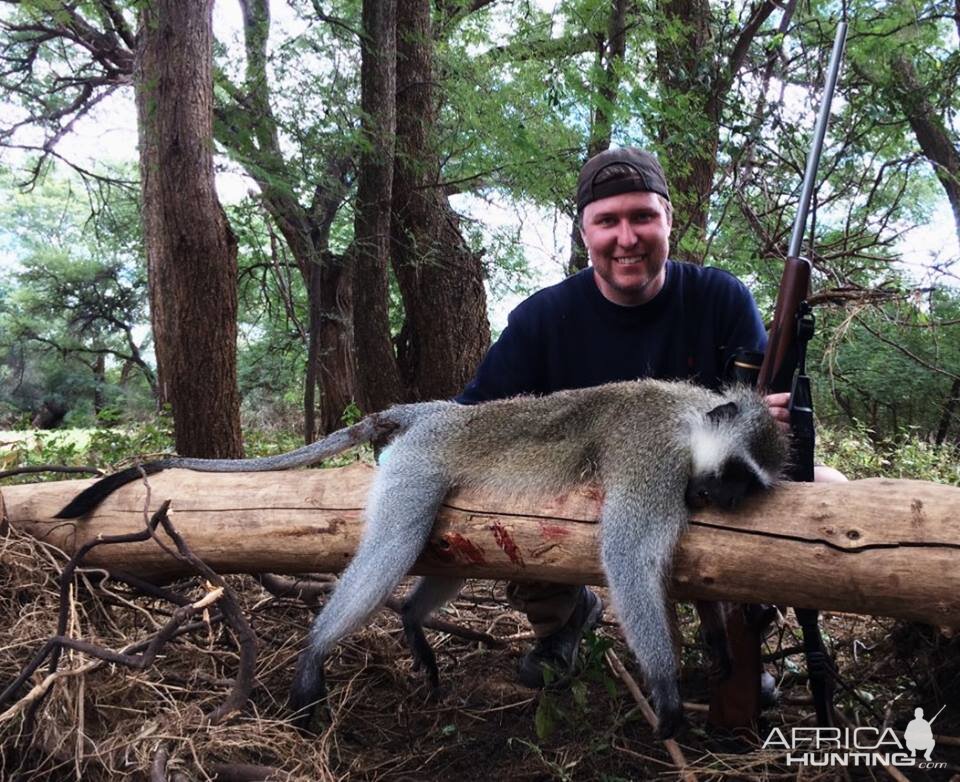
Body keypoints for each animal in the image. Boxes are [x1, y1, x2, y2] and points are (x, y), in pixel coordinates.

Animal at [54, 382, 788, 740]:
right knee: (394, 543)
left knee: (448, 553)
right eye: (734, 473)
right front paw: (665, 688)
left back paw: (410, 617)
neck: (689, 411)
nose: (717, 497)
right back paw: (315, 650)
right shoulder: (652, 454)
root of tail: (444, 413)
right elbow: (629, 551)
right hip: (418, 462)